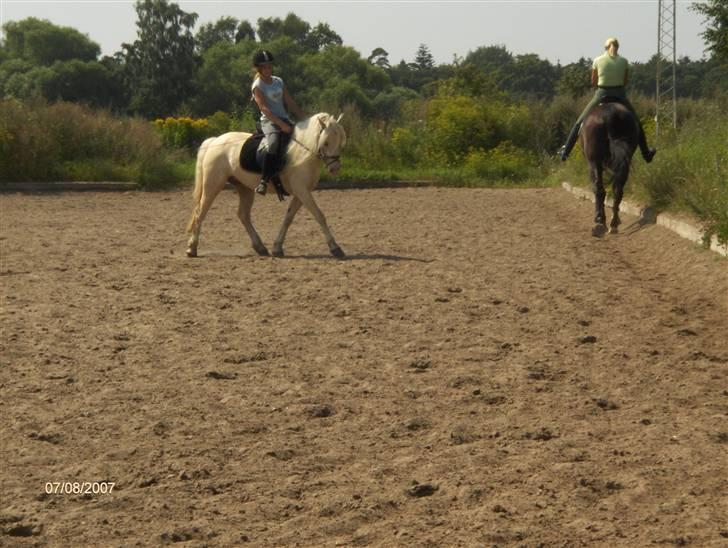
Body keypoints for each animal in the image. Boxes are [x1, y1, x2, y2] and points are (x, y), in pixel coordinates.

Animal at [188, 113, 346, 260]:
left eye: (340, 142)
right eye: (326, 142)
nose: (335, 168)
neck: (303, 152)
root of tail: (215, 140)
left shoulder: (301, 192)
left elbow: (288, 219)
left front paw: (277, 248)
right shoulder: (302, 191)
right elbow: (319, 216)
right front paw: (335, 248)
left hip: (244, 188)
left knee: (243, 215)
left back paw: (260, 247)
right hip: (213, 185)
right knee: (200, 213)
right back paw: (192, 248)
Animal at [580, 101, 636, 237]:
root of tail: (610, 114)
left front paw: (599, 218)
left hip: (594, 162)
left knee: (599, 189)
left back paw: (600, 222)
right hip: (624, 162)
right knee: (618, 190)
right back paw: (613, 223)